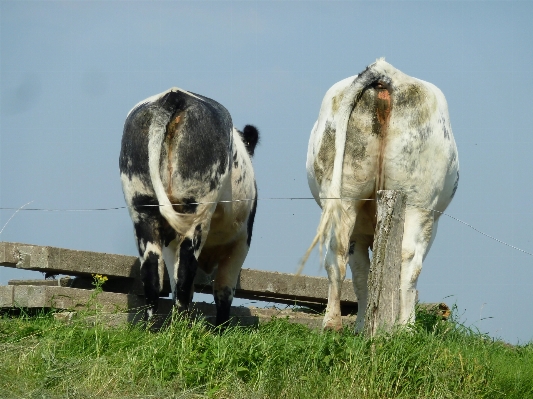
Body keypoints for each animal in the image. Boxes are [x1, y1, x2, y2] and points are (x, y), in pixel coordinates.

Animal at [121, 87, 262, 324]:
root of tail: (175, 95)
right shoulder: (242, 240)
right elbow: (224, 288)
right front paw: (221, 328)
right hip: (196, 209)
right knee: (186, 270)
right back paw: (182, 326)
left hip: (142, 207)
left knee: (152, 272)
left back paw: (151, 327)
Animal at [304, 59, 458, 332]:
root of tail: (386, 72)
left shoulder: (359, 232)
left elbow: (363, 274)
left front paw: (362, 325)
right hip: (417, 201)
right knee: (408, 260)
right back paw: (405, 328)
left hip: (345, 193)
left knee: (338, 253)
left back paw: (332, 324)